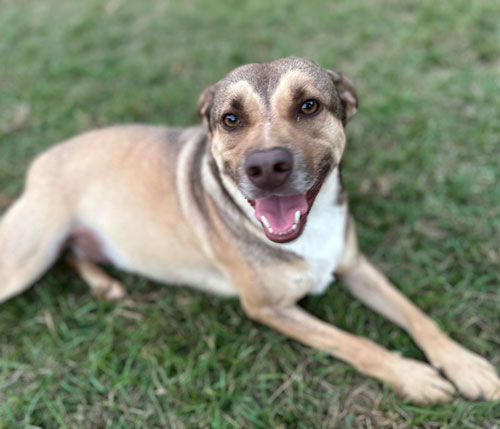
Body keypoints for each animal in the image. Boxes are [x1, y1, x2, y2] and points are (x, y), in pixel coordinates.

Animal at [0, 57, 500, 404]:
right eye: (231, 119)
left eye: (309, 105)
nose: (267, 166)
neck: (308, 231)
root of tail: (42, 159)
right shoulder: (268, 307)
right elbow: (355, 343)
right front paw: (412, 376)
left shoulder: (355, 265)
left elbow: (418, 316)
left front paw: (466, 365)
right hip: (26, 256)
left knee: (74, 253)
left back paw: (104, 284)